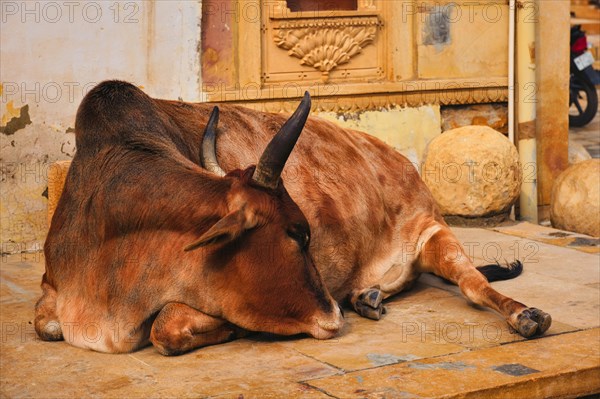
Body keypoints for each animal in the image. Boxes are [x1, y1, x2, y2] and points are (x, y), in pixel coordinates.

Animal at [35, 79, 552, 354]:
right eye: (297, 235)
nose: (333, 315)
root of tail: (402, 162)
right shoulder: (51, 291)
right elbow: (47, 326)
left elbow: (165, 329)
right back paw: (367, 297)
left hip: (434, 232)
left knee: (474, 284)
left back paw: (526, 315)